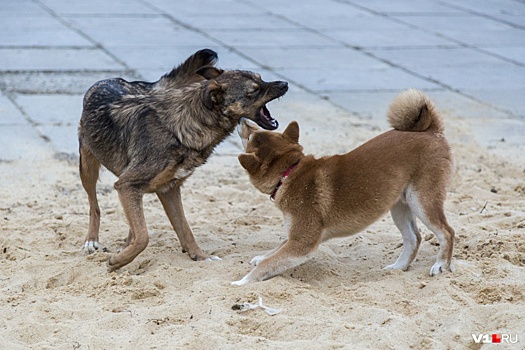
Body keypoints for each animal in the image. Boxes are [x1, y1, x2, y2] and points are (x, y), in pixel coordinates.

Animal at [79, 48, 286, 270]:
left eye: (261, 78)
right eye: (254, 90)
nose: (285, 84)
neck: (183, 125)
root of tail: (111, 79)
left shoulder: (168, 190)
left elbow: (184, 229)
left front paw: (201, 257)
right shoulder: (126, 184)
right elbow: (144, 237)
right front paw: (118, 262)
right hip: (87, 169)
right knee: (94, 207)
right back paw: (91, 240)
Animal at [233, 89, 454, 284]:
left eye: (250, 135)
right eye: (257, 130)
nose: (241, 120)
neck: (290, 172)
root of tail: (432, 131)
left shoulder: (302, 242)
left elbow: (269, 264)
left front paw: (241, 282)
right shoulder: (296, 237)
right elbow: (275, 250)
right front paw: (261, 257)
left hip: (421, 201)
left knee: (447, 232)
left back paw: (441, 265)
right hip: (400, 205)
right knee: (414, 238)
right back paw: (398, 268)